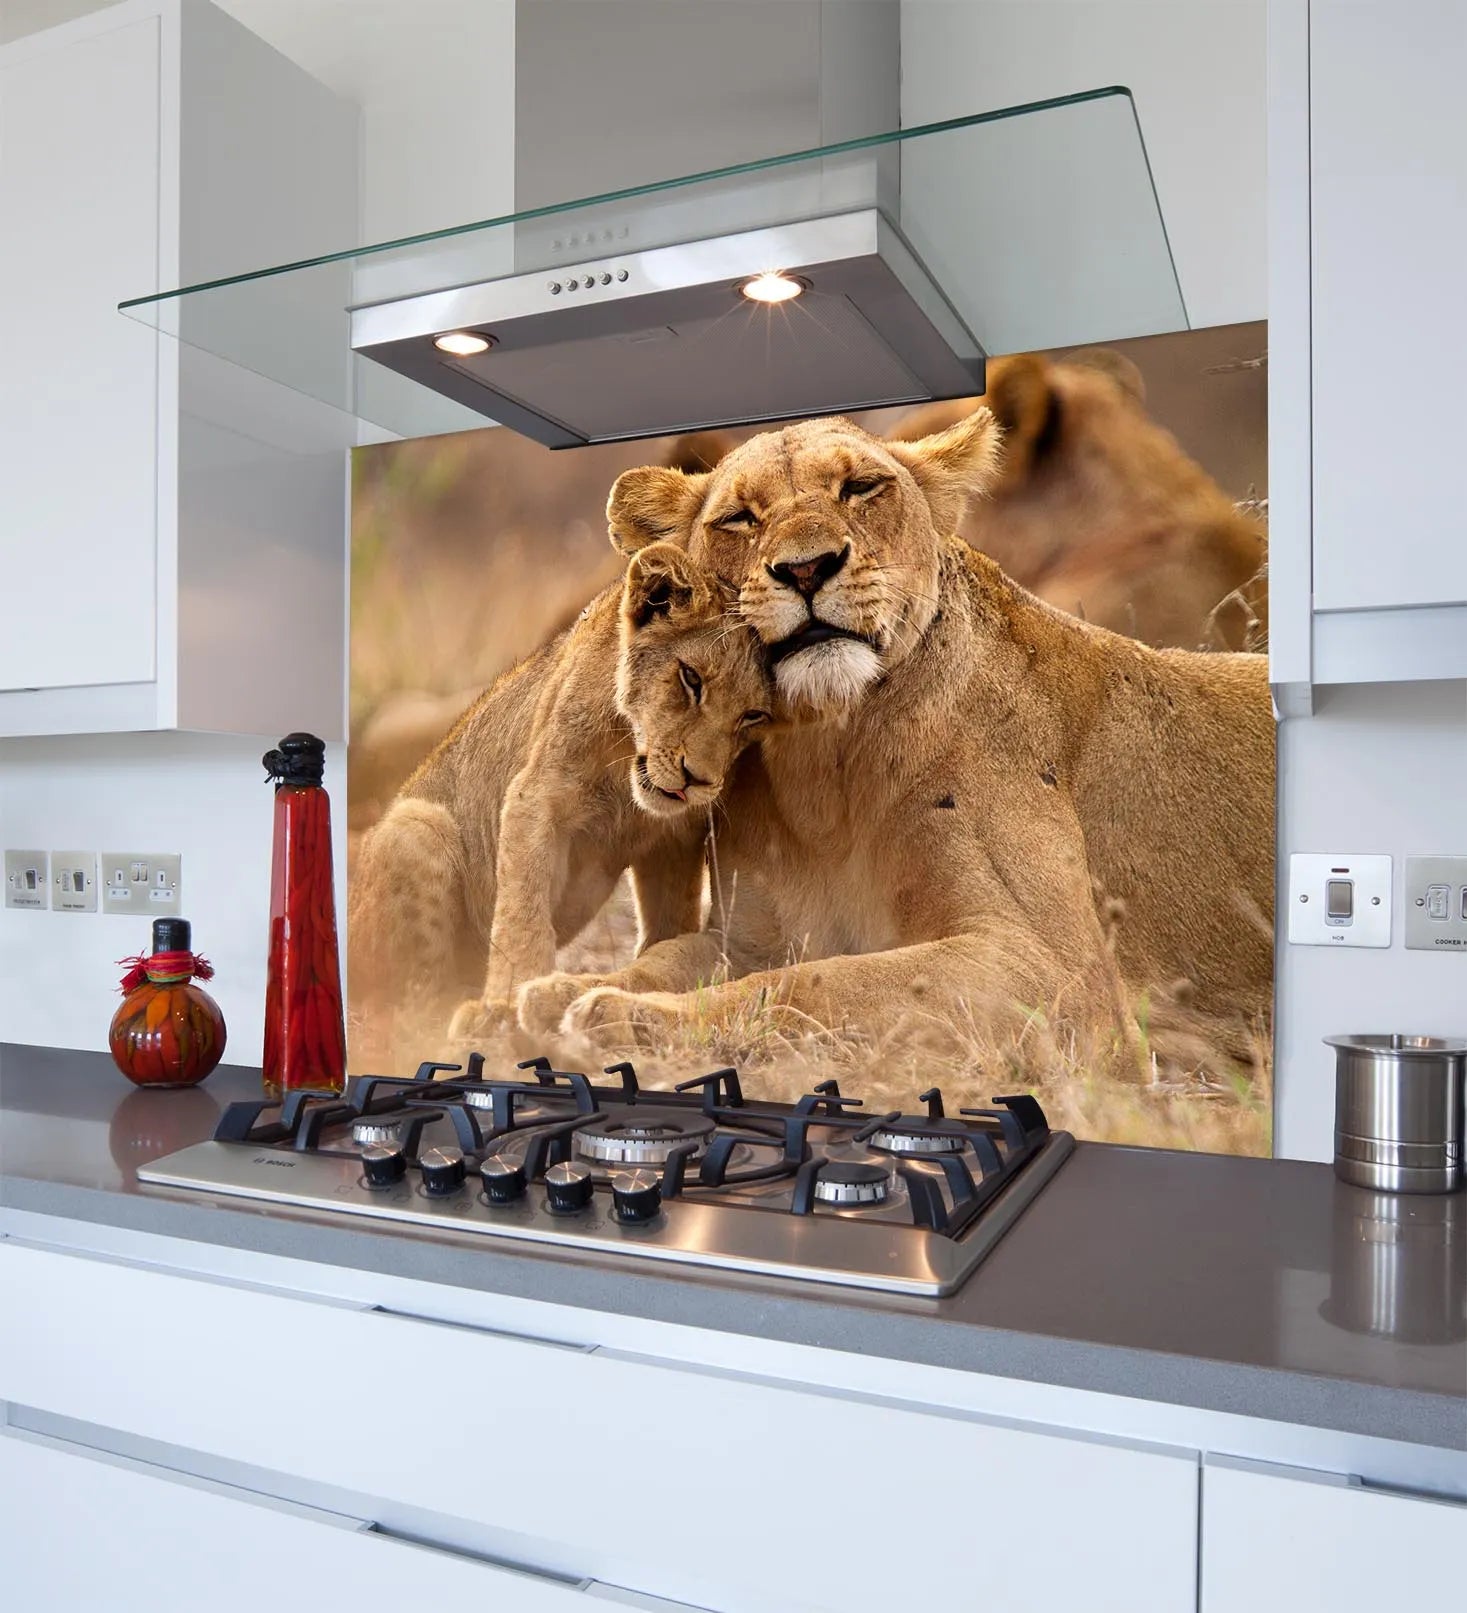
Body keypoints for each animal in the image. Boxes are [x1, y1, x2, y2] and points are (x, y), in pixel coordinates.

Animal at [347, 543, 773, 1063]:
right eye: (691, 678)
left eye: (753, 715)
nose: (697, 780)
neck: (626, 760)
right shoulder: (534, 798)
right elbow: (522, 916)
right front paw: (507, 1004)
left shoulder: (675, 836)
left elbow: (671, 918)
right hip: (415, 825)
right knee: (408, 1002)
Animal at [516, 410, 1275, 1074]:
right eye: (739, 518)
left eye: (860, 487)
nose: (806, 568)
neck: (826, 764)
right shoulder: (755, 936)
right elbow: (668, 957)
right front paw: (555, 991)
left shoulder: (1061, 975)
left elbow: (817, 985)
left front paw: (620, 1014)